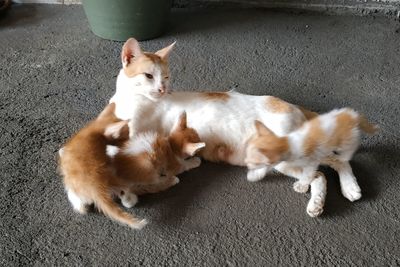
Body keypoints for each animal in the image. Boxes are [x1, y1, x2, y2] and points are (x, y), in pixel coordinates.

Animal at [244, 108, 378, 217]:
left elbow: (308, 175)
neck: (288, 143)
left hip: (345, 143)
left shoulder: (311, 161)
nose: (246, 164)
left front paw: (301, 185)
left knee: (344, 158)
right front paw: (255, 175)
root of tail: (353, 115)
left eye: (252, 162)